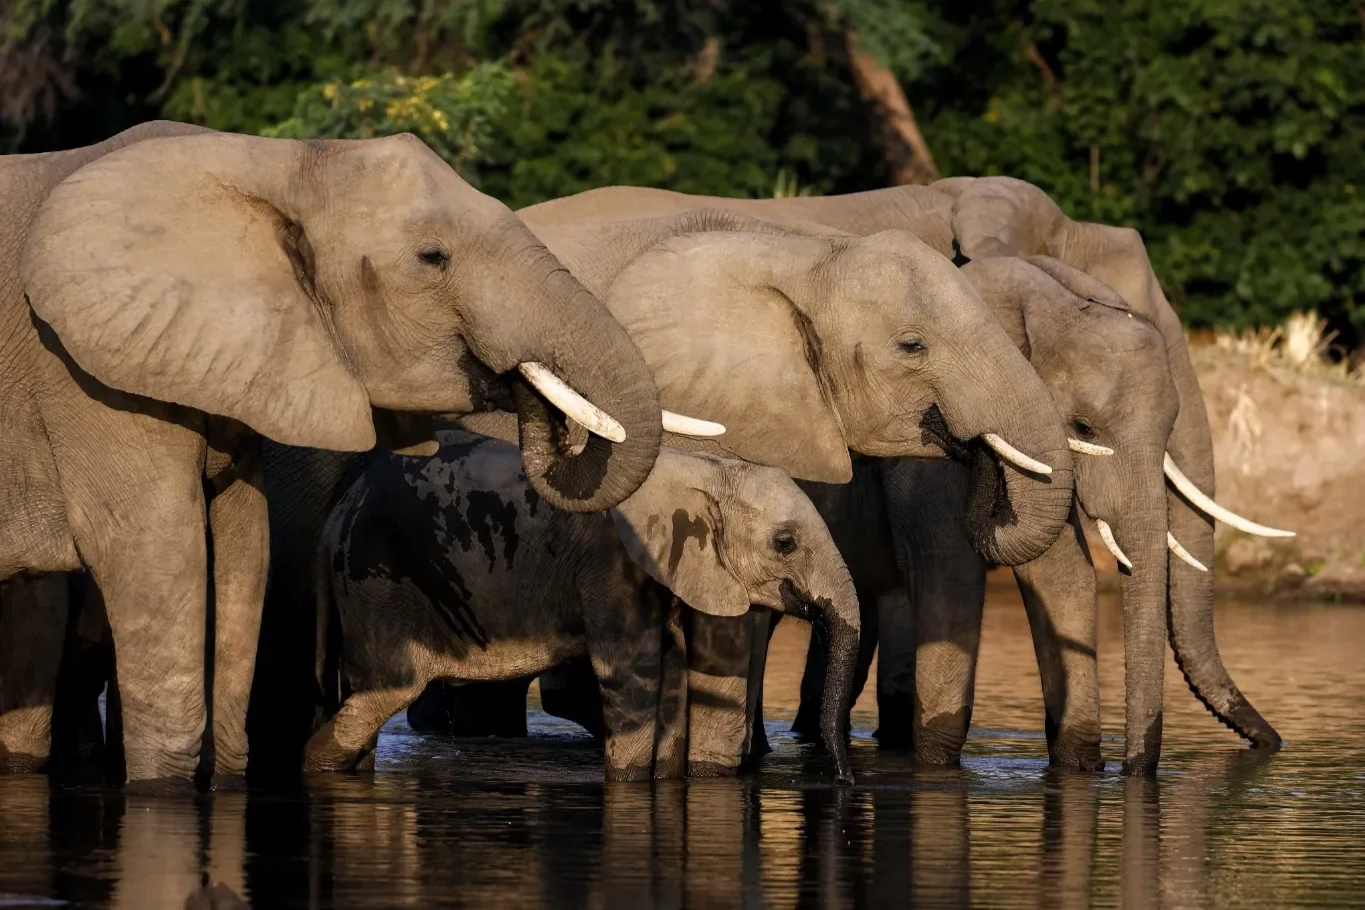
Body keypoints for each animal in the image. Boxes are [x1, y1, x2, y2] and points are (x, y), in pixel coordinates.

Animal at [0, 121, 682, 784]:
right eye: (433, 257)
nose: (522, 386)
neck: (273, 161)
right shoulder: (86, 379)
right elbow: (156, 552)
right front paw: (161, 791)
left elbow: (246, 550)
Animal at [305, 429, 861, 782]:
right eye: (785, 543)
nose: (845, 783)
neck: (701, 467)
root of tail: (334, 517)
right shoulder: (610, 566)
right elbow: (636, 673)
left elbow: (679, 677)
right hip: (377, 583)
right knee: (383, 695)